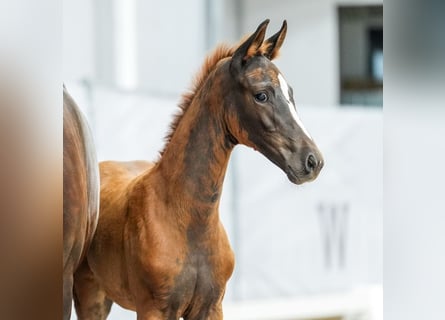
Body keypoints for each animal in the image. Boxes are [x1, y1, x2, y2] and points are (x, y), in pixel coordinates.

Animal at [73, 20, 322, 320]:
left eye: (291, 94)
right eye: (261, 94)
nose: (312, 161)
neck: (189, 220)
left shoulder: (211, 307)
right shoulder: (153, 309)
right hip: (89, 295)